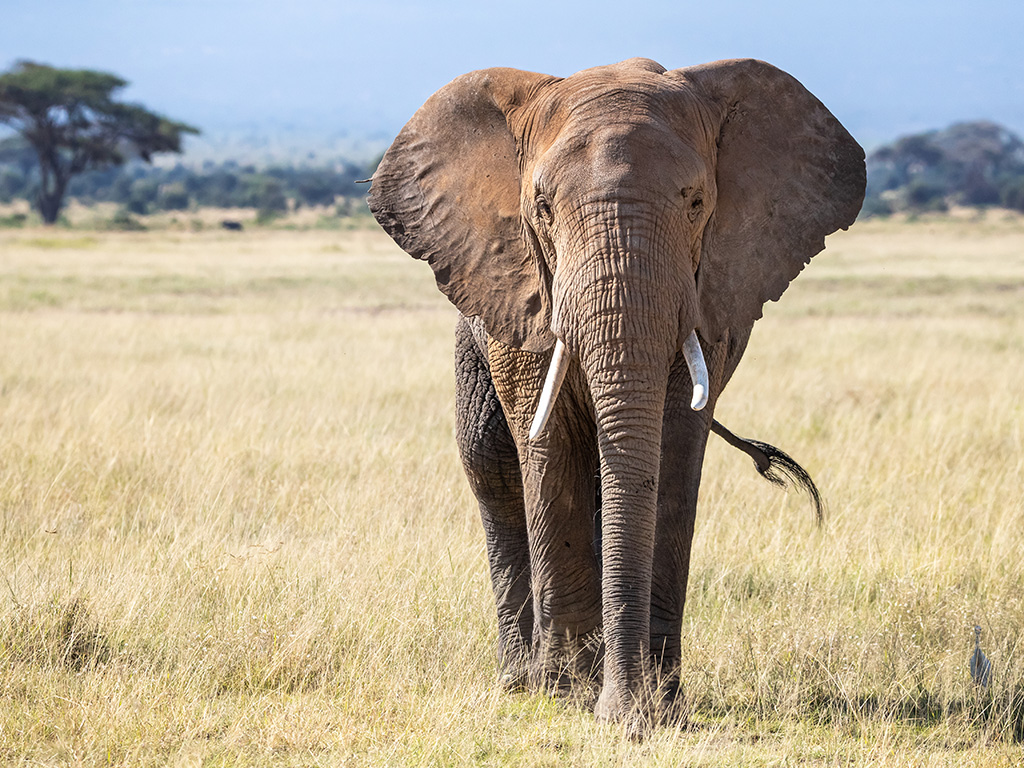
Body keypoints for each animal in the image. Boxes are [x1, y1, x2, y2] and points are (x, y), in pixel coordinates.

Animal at [368, 58, 864, 733]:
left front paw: (657, 705)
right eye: (542, 208)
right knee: (490, 465)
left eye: (697, 203)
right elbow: (548, 444)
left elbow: (675, 451)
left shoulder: (710, 295)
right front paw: (570, 696)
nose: (626, 717)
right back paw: (522, 682)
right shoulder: (525, 289)